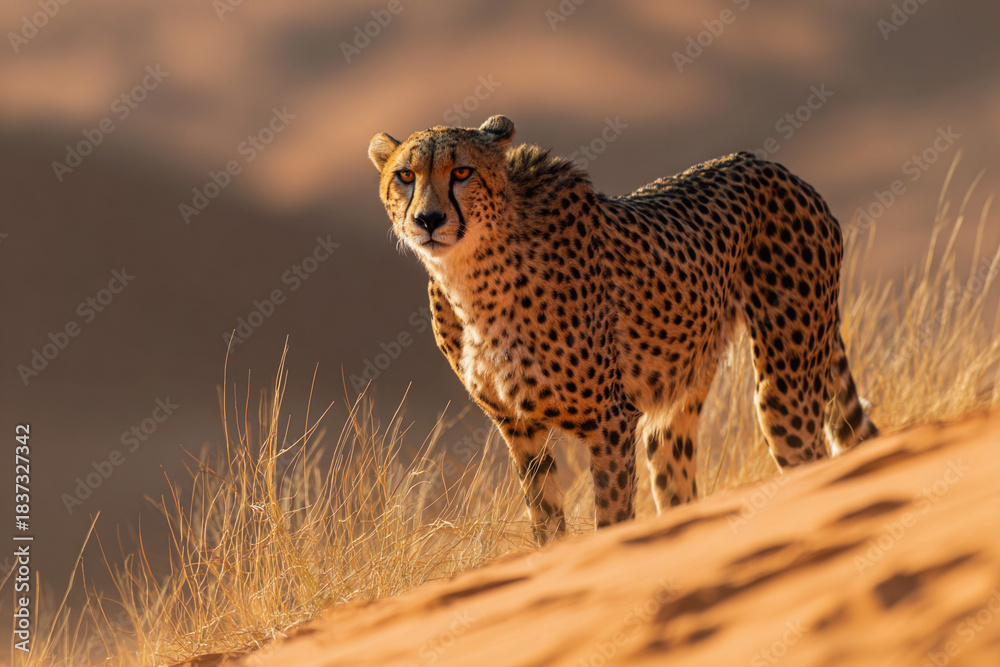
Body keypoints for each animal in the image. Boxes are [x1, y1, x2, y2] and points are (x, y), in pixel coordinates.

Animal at [368, 115, 879, 543]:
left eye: (462, 172)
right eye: (405, 176)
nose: (428, 220)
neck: (472, 275)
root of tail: (773, 167)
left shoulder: (610, 422)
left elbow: (611, 519)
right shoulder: (520, 427)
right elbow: (547, 526)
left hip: (784, 393)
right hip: (677, 403)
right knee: (677, 481)